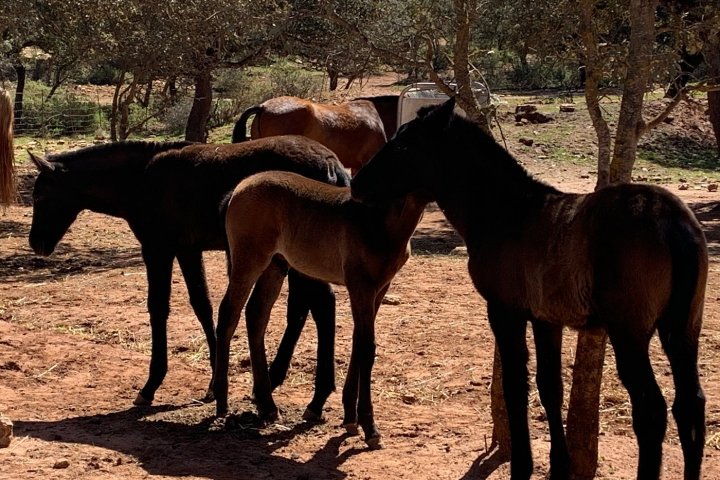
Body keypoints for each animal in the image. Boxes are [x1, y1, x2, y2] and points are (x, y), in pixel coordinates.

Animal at [29, 136, 350, 419]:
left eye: (40, 195)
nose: (36, 243)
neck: (140, 178)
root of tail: (333, 164)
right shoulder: (188, 250)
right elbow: (202, 304)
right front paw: (213, 385)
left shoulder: (157, 250)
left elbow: (158, 308)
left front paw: (151, 385)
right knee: (304, 308)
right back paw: (277, 382)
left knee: (320, 306)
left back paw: (314, 398)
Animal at [214, 170, 427, 448]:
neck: (381, 220)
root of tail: (239, 188)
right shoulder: (360, 286)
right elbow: (366, 347)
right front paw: (369, 427)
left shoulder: (380, 288)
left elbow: (359, 342)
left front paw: (350, 418)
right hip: (248, 262)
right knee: (228, 314)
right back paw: (221, 401)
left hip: (275, 265)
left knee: (257, 314)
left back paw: (267, 405)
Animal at [350, 98, 707, 479]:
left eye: (404, 146)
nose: (357, 183)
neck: (506, 212)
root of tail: (673, 222)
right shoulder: (546, 319)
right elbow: (550, 387)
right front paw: (559, 466)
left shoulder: (505, 311)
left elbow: (516, 386)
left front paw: (523, 465)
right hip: (683, 330)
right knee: (690, 405)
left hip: (629, 333)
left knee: (651, 408)